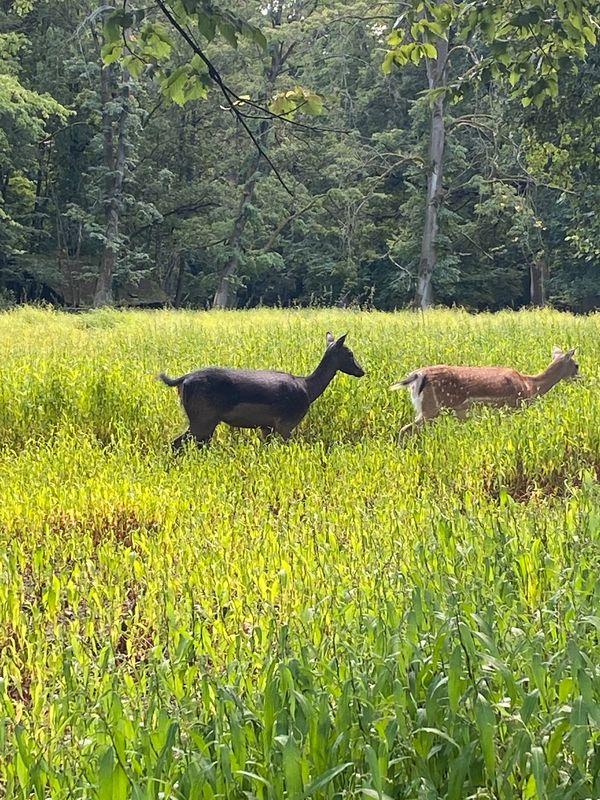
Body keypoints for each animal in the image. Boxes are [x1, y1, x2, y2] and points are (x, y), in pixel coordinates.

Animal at [392, 346, 580, 440]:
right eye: (576, 365)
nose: (580, 377)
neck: (531, 386)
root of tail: (418, 375)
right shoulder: (514, 405)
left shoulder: (463, 412)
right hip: (433, 407)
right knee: (405, 429)